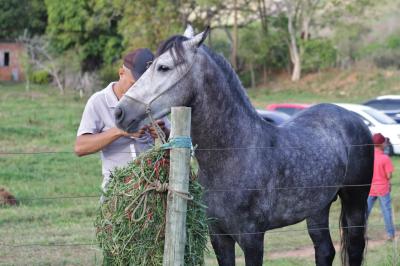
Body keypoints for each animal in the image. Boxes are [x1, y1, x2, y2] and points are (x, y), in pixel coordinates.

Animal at [114, 27, 374, 266]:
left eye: (164, 67)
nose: (120, 113)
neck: (235, 154)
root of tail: (353, 118)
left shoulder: (252, 238)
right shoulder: (219, 236)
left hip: (355, 202)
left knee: (354, 249)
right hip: (318, 208)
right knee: (325, 250)